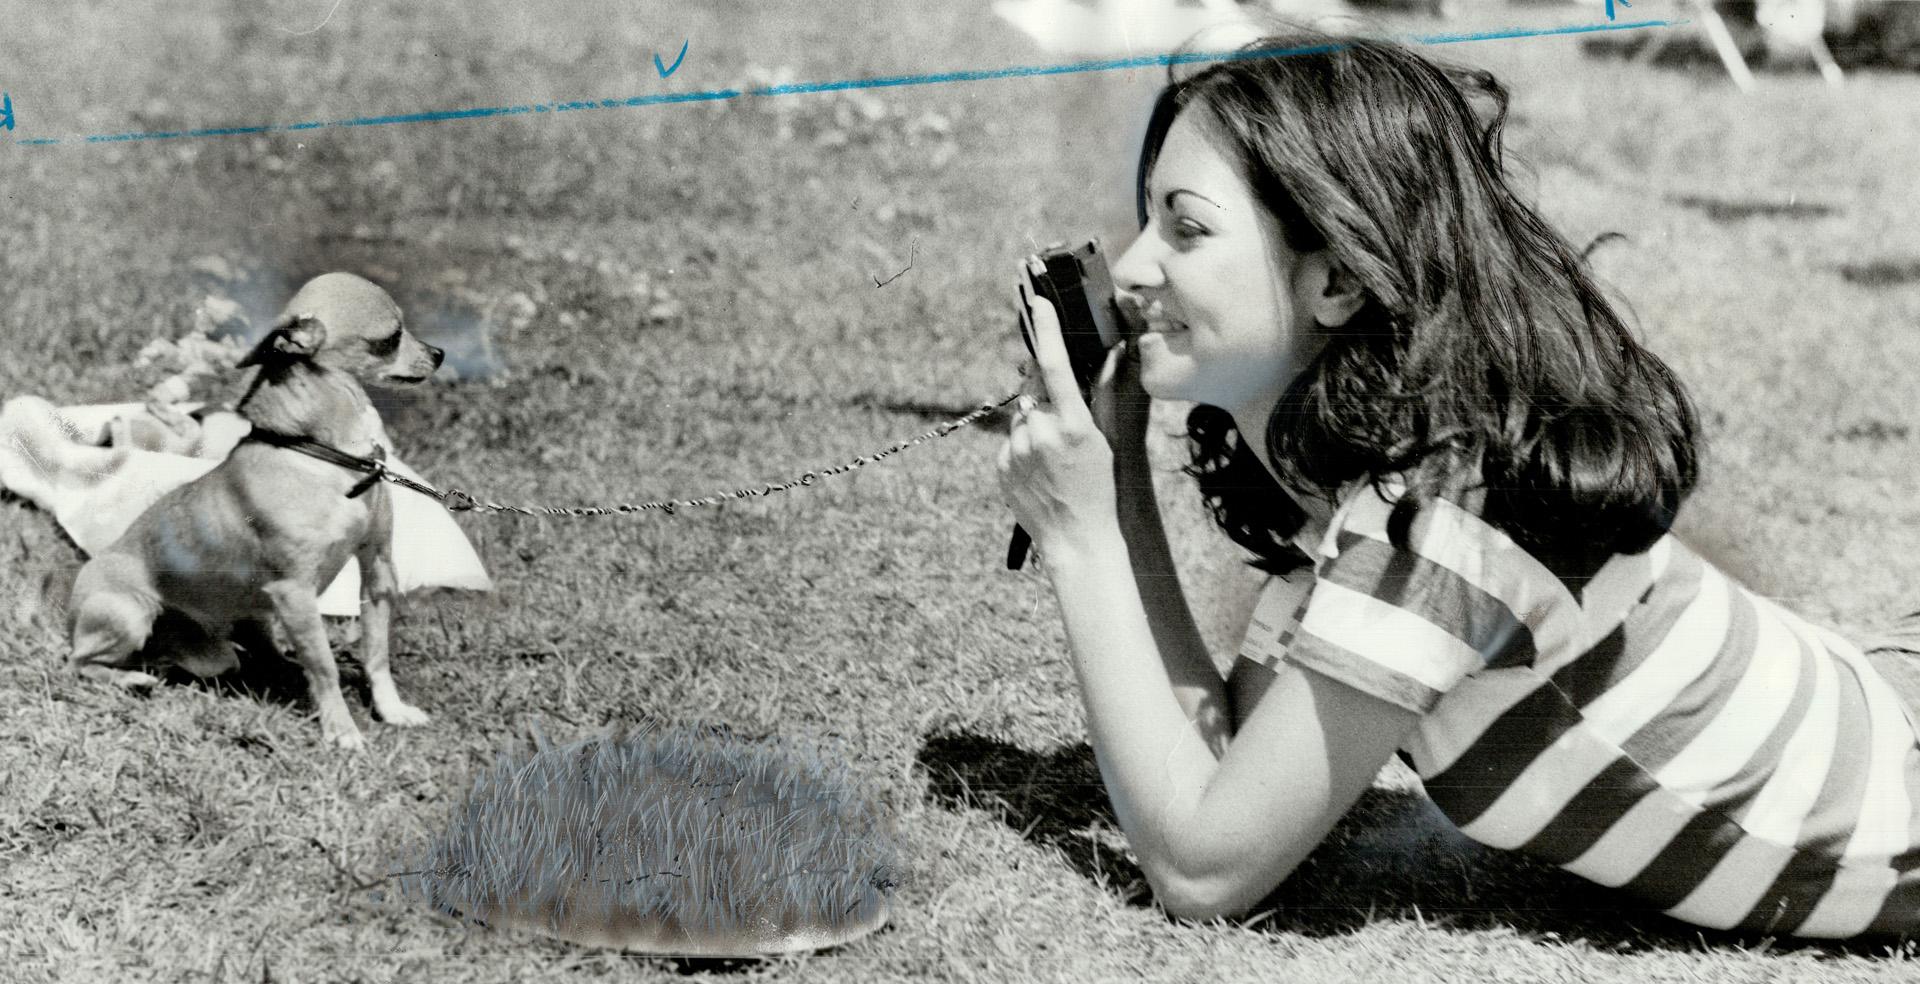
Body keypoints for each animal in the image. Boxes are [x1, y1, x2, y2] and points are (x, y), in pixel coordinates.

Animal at [63, 272, 445, 749]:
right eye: (390, 338)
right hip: (128, 613)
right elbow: (326, 667)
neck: (326, 457)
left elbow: (376, 654)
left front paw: (391, 710)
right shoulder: (295, 593)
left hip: (233, 634)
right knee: (79, 663)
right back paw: (131, 679)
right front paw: (341, 730)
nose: (439, 353)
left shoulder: (377, 571)